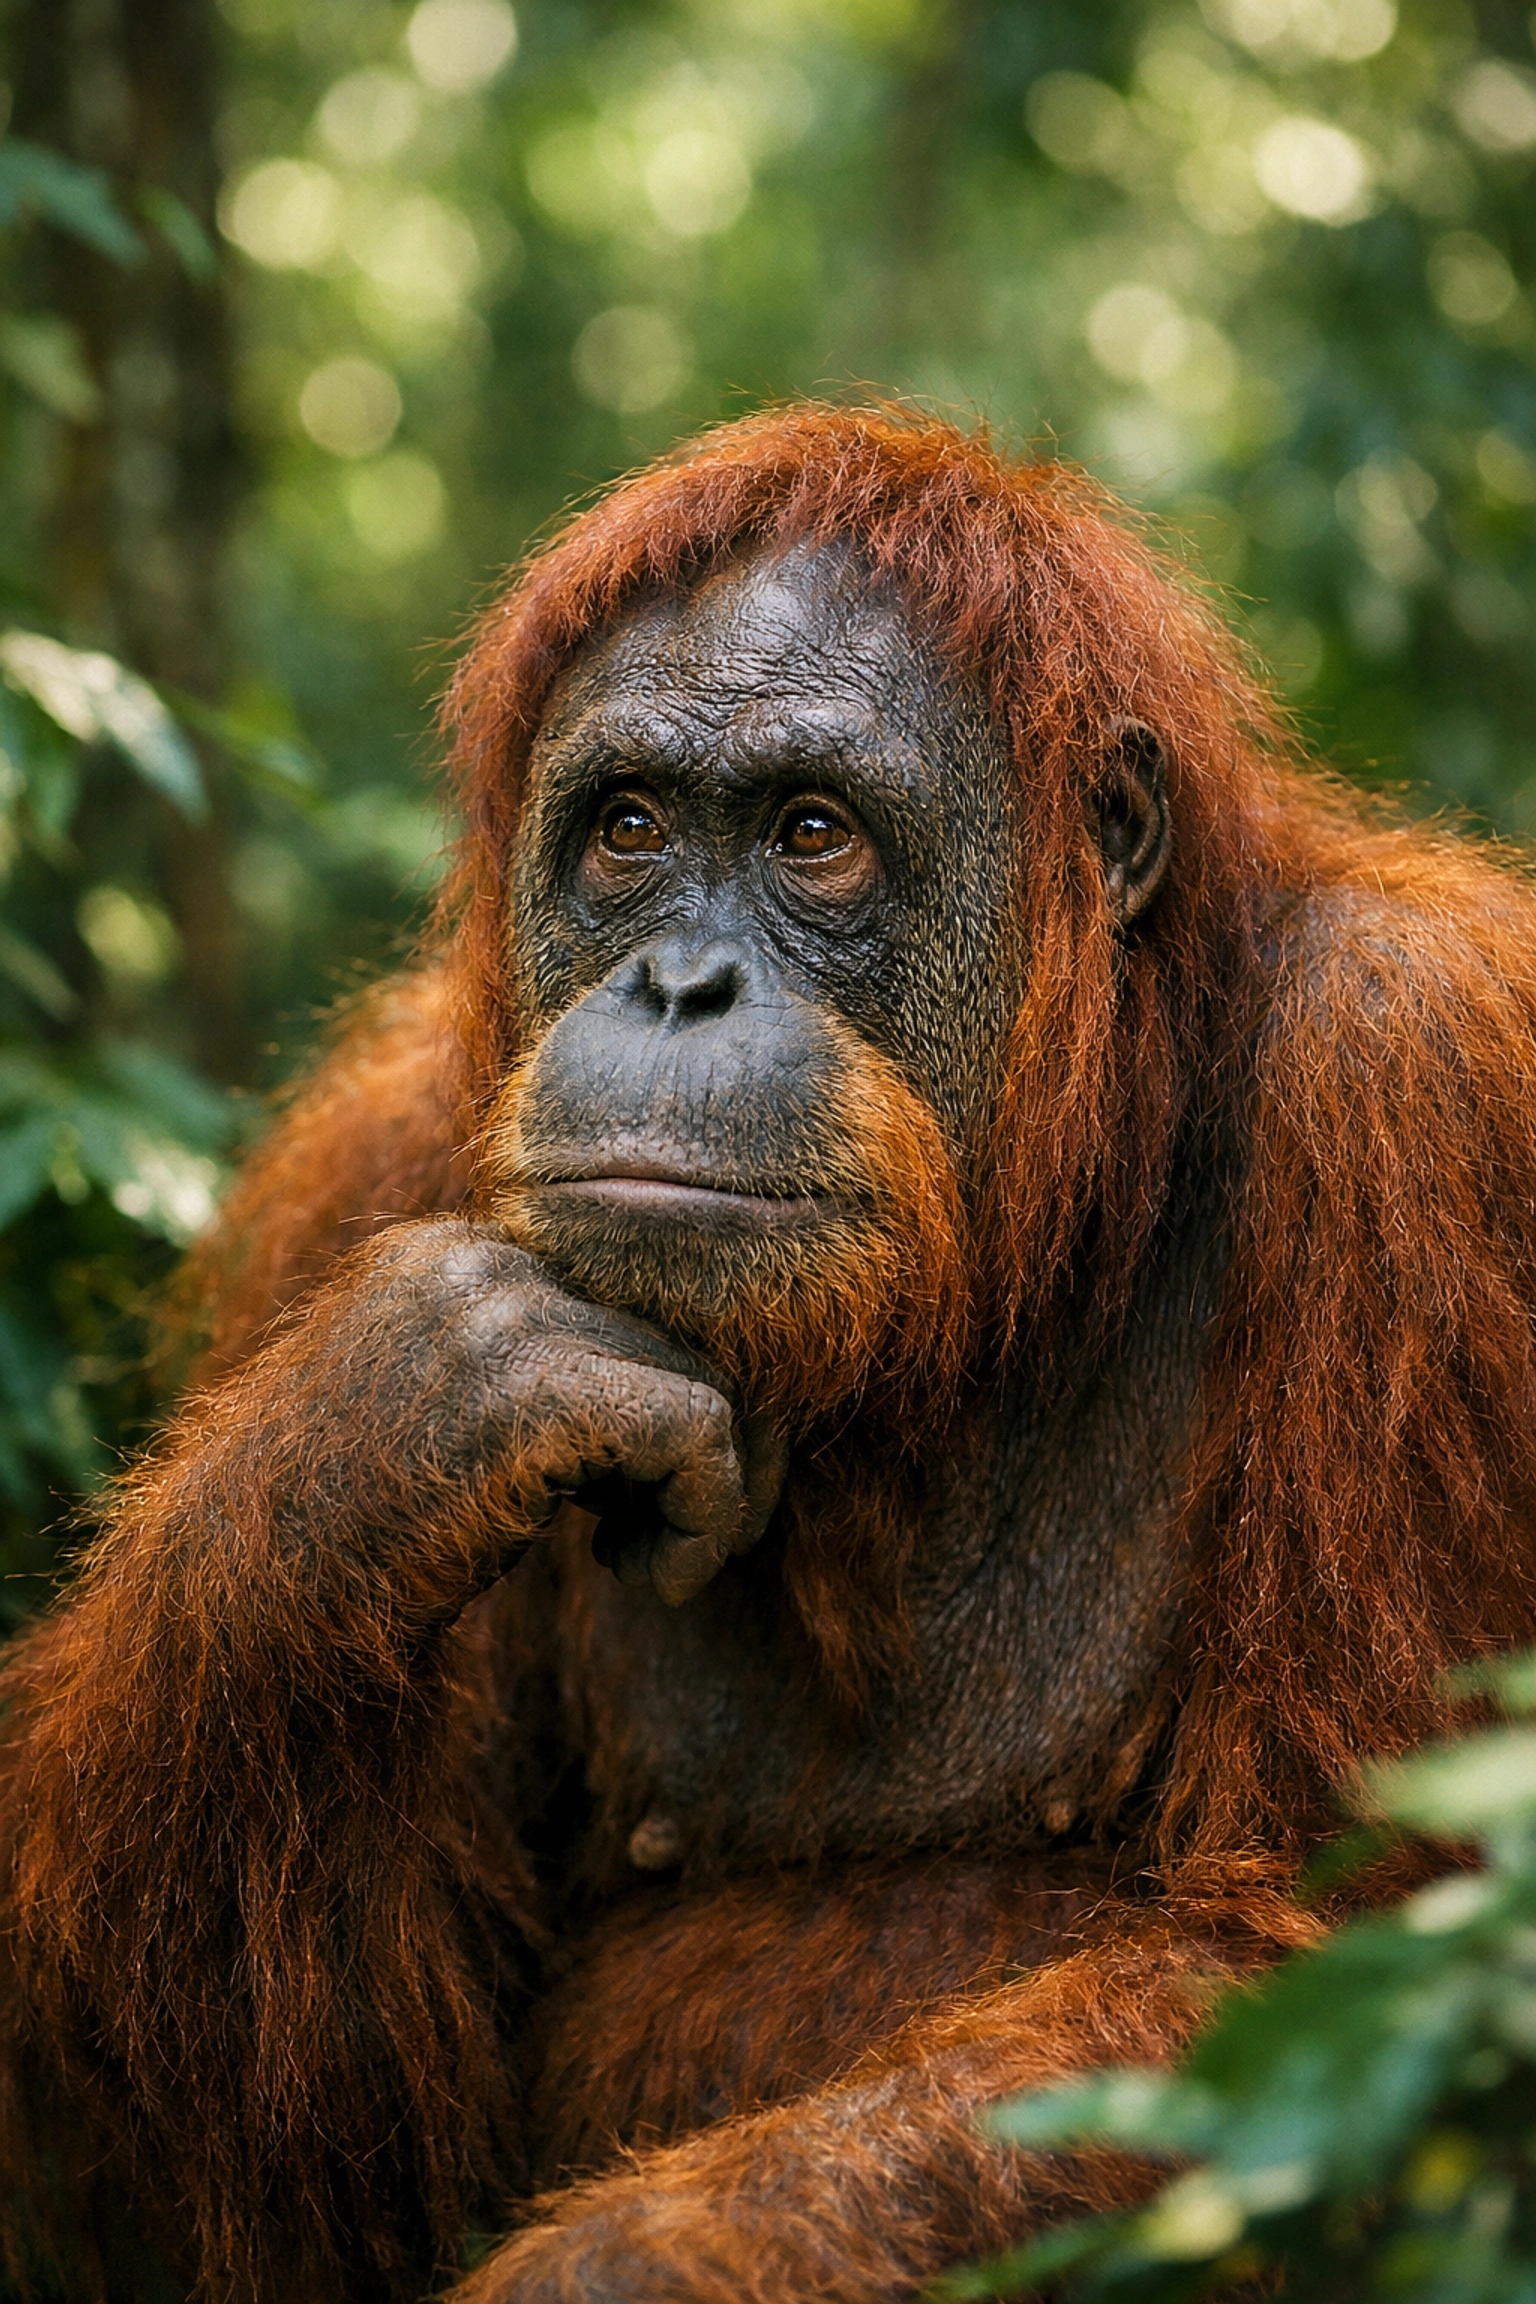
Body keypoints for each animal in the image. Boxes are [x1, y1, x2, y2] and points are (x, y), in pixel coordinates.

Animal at [2, 405, 1535, 2304]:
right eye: (629, 827)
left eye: (814, 833)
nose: (678, 983)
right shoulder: (359, 1166)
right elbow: (295, 2182)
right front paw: (382, 1427)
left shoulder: (1427, 1085)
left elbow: (1322, 1942)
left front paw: (605, 2273)